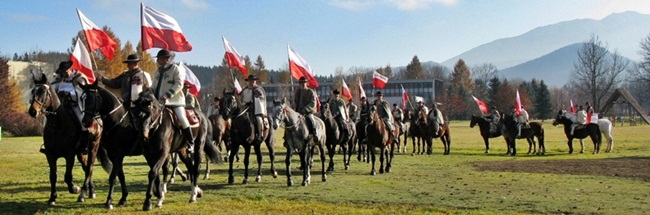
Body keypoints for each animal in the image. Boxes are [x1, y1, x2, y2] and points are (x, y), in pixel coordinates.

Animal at [27, 73, 106, 207]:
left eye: (43, 91)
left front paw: (74, 189)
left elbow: (68, 176)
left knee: (89, 167)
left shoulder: (69, 155)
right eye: (33, 91)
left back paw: (83, 194)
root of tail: (97, 118)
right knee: (86, 168)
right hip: (81, 153)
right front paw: (52, 198)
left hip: (93, 146)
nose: (33, 111)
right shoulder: (51, 155)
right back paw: (91, 191)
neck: (57, 124)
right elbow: (53, 176)